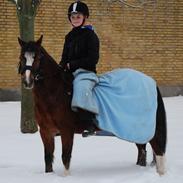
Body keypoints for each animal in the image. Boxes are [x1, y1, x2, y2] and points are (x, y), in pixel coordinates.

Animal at [17, 36, 167, 176]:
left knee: (158, 150)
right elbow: (48, 159)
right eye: (22, 57)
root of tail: (151, 81)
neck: (55, 92)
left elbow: (66, 157)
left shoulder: (66, 131)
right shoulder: (46, 131)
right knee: (142, 151)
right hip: (137, 132)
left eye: (38, 57)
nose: (28, 81)